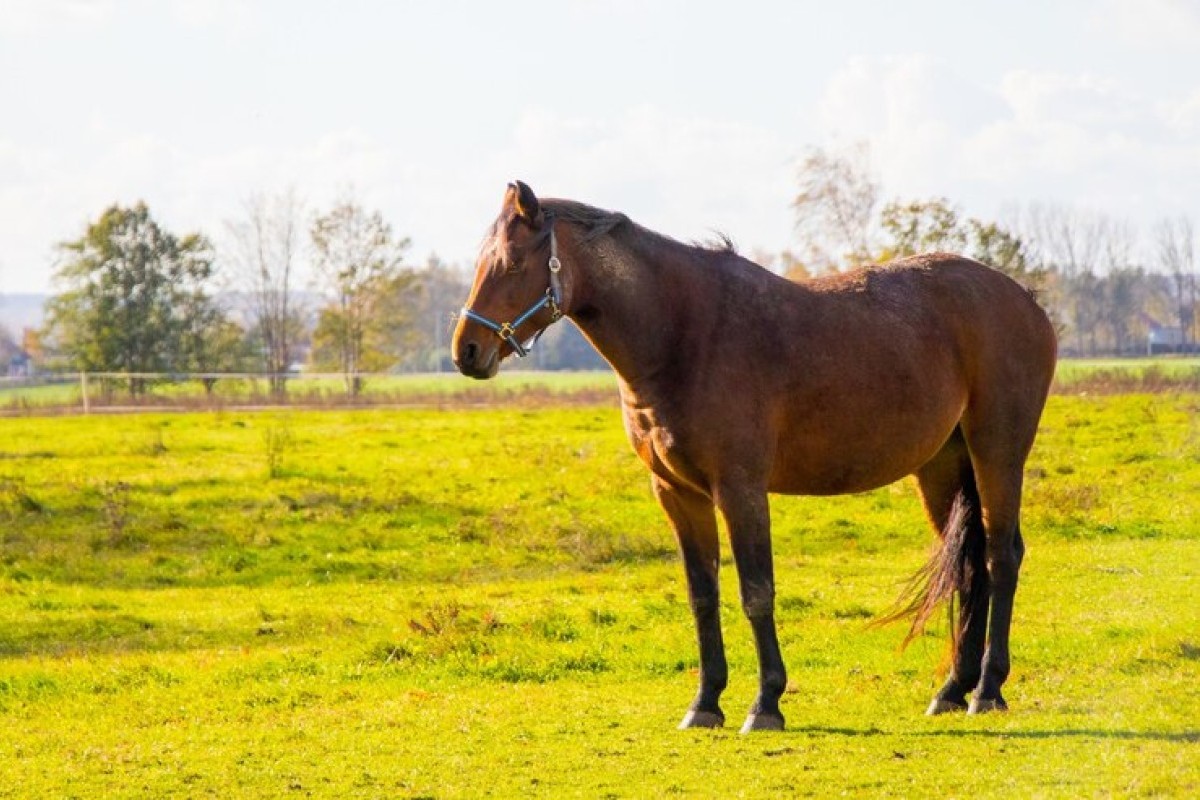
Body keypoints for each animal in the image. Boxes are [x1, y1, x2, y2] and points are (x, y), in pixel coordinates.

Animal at [453, 179, 1056, 734]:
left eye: (511, 263)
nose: (467, 351)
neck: (685, 334)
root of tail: (1025, 300)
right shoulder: (678, 494)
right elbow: (703, 597)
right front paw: (705, 703)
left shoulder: (740, 490)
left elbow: (756, 592)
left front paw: (765, 704)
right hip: (941, 468)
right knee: (970, 564)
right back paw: (953, 689)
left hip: (997, 453)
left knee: (1001, 556)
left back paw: (988, 690)